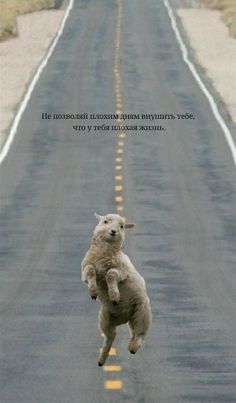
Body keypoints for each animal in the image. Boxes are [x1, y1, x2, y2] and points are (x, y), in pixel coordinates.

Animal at [81, 213, 151, 368]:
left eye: (122, 226)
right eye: (105, 221)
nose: (113, 231)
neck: (103, 253)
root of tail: (123, 318)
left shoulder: (123, 271)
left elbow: (111, 274)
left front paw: (114, 295)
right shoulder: (85, 269)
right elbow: (90, 271)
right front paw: (93, 292)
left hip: (142, 311)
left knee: (140, 333)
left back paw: (133, 347)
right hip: (105, 318)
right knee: (110, 336)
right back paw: (102, 359)